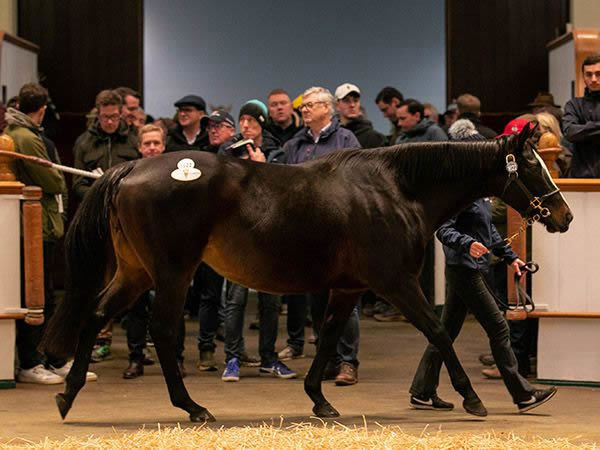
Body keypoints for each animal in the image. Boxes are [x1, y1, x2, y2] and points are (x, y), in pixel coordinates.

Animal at [41, 125, 572, 424]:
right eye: (533, 166)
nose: (564, 215)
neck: (396, 189)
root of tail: (129, 169)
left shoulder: (349, 287)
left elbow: (331, 335)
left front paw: (320, 400)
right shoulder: (395, 283)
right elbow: (439, 333)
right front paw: (472, 400)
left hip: (135, 271)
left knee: (95, 315)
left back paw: (69, 396)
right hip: (172, 272)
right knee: (162, 330)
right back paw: (192, 407)